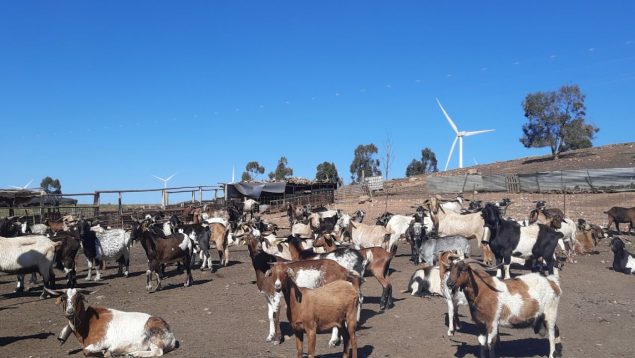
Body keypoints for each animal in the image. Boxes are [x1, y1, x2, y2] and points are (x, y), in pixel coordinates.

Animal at [46, 290, 178, 356]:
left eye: (78, 298)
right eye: (63, 298)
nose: (70, 313)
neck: (88, 324)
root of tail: (171, 335)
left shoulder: (102, 341)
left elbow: (86, 351)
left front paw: (107, 352)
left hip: (153, 337)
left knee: (158, 352)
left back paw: (134, 354)